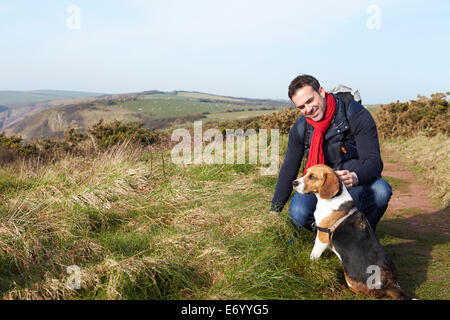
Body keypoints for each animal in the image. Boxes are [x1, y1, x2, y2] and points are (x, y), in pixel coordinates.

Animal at [292, 165, 412, 300]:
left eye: (312, 177)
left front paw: (310, 262)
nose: (293, 183)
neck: (333, 199)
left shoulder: (322, 236)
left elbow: (314, 254)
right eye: (306, 173)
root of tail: (389, 283)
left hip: (349, 278)